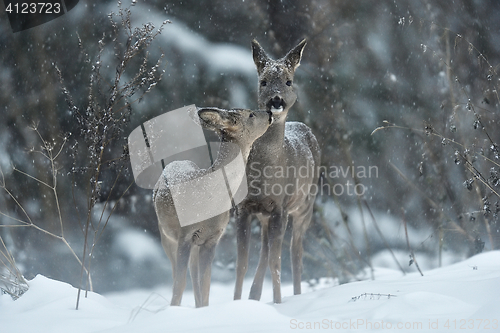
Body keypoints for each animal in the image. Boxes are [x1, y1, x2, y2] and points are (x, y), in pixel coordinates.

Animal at [152, 107, 272, 306]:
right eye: (251, 114)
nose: (270, 113)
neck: (211, 198)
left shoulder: (212, 239)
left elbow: (205, 283)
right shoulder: (185, 235)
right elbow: (180, 283)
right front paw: (173, 309)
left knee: (193, 274)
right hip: (166, 236)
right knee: (176, 273)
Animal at [233, 39, 320, 304]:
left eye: (289, 81)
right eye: (263, 81)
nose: (276, 100)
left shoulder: (280, 207)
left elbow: (276, 262)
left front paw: (279, 302)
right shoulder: (243, 208)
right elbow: (242, 263)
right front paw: (236, 302)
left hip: (305, 206)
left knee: (295, 253)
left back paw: (295, 294)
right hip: (266, 215)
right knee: (265, 250)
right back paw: (254, 295)